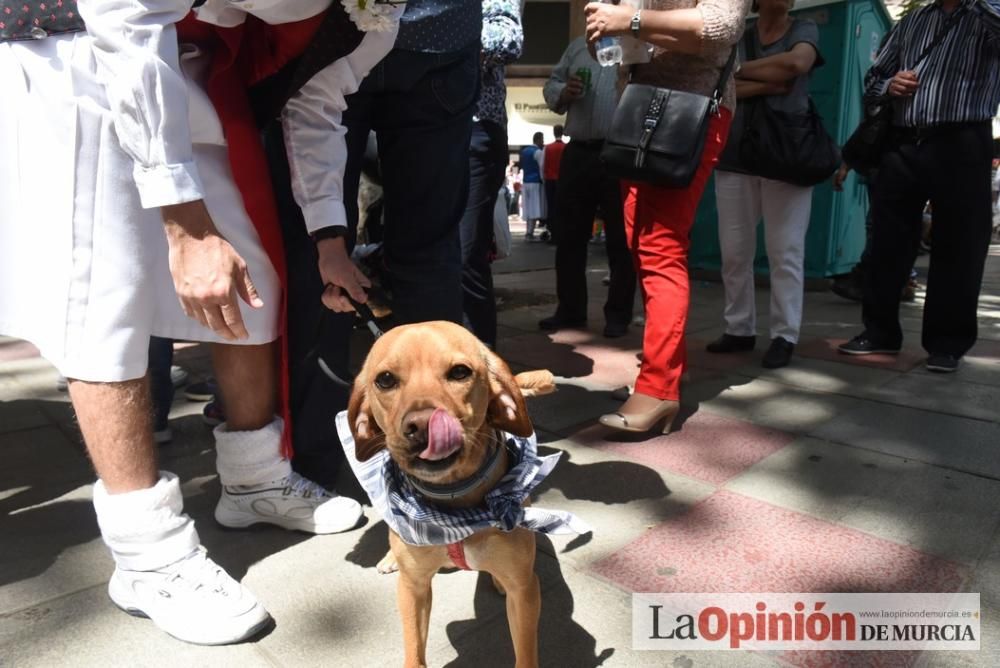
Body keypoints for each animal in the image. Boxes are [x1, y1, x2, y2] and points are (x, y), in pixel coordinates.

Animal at [348, 320, 560, 664]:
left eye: (460, 372)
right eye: (385, 379)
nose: (423, 425)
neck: (454, 508)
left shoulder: (525, 590)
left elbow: (525, 653)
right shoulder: (413, 588)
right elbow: (414, 651)